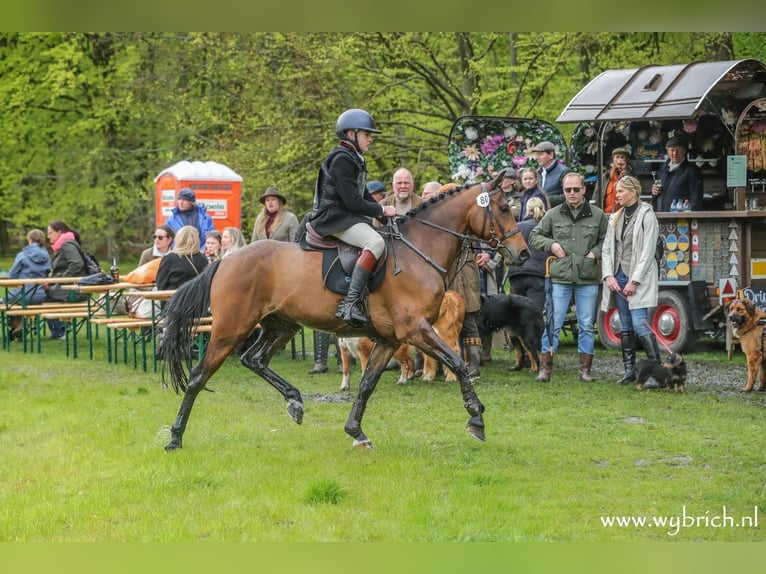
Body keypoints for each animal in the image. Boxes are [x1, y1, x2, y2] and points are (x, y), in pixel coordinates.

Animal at [159, 171, 529, 451]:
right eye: (502, 208)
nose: (523, 254)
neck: (418, 250)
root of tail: (226, 261)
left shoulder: (390, 340)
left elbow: (366, 384)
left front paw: (356, 431)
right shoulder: (416, 330)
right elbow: (458, 364)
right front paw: (476, 418)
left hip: (281, 325)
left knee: (255, 359)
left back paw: (294, 401)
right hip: (231, 329)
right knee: (199, 375)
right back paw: (175, 437)